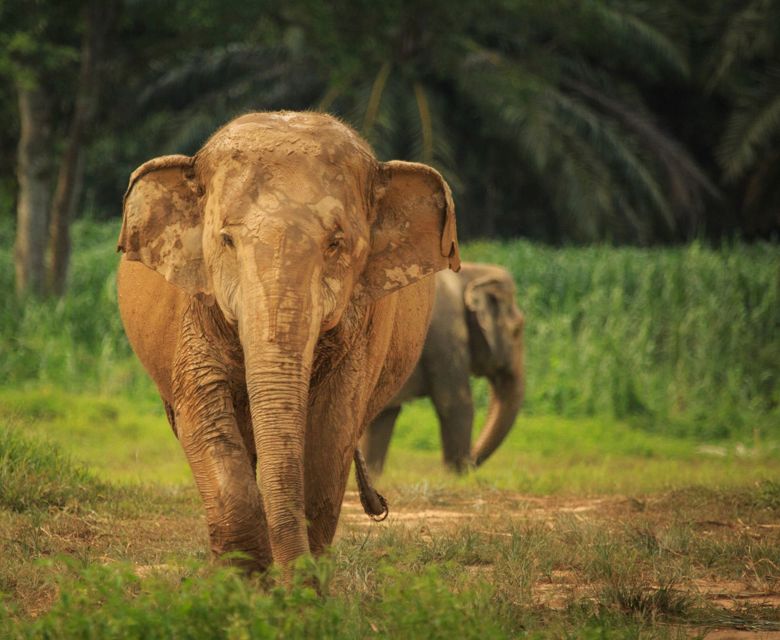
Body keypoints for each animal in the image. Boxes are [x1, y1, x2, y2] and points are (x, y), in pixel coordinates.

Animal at [116, 111, 460, 575]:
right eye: (226, 240)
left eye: (336, 243)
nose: (381, 506)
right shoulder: (194, 310)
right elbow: (205, 415)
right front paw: (240, 583)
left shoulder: (364, 326)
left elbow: (330, 434)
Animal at [361, 262, 524, 474]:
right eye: (517, 330)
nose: (471, 462)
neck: (471, 272)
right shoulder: (447, 338)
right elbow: (456, 404)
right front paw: (456, 475)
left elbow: (384, 416)